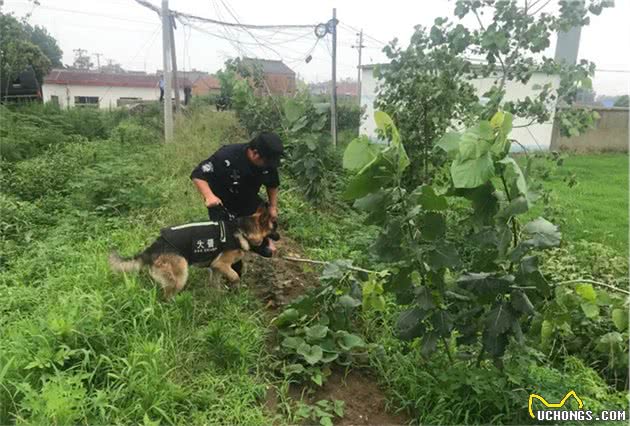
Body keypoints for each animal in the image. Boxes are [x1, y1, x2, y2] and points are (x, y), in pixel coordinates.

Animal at [109, 205, 276, 298]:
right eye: (274, 230)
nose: (279, 238)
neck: (242, 230)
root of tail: (152, 248)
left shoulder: (215, 268)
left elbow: (215, 283)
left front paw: (217, 298)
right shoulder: (221, 264)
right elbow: (235, 276)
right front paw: (235, 287)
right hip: (181, 275)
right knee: (167, 297)